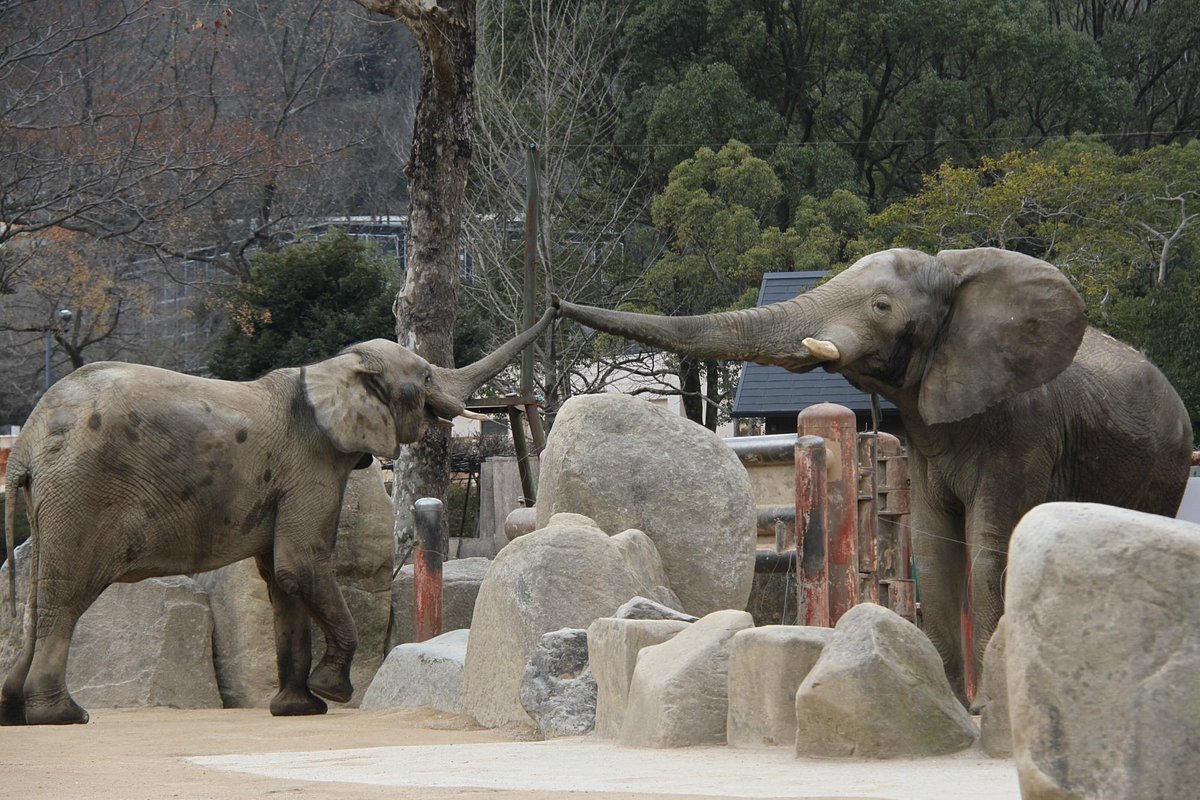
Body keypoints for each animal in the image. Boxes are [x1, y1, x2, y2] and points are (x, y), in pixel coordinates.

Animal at [1, 307, 556, 724]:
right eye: (423, 376)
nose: (552, 300)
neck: (333, 367)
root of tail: (26, 442)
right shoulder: (311, 465)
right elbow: (301, 564)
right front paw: (332, 693)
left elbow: (283, 581)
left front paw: (298, 709)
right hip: (84, 493)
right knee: (66, 595)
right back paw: (63, 716)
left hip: (53, 500)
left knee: (34, 598)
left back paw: (17, 713)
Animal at [552, 248, 1190, 700]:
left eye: (882, 307)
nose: (555, 305)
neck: (957, 276)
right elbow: (935, 553)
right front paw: (947, 700)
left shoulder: (1025, 430)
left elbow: (990, 549)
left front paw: (988, 708)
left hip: (1166, 465)